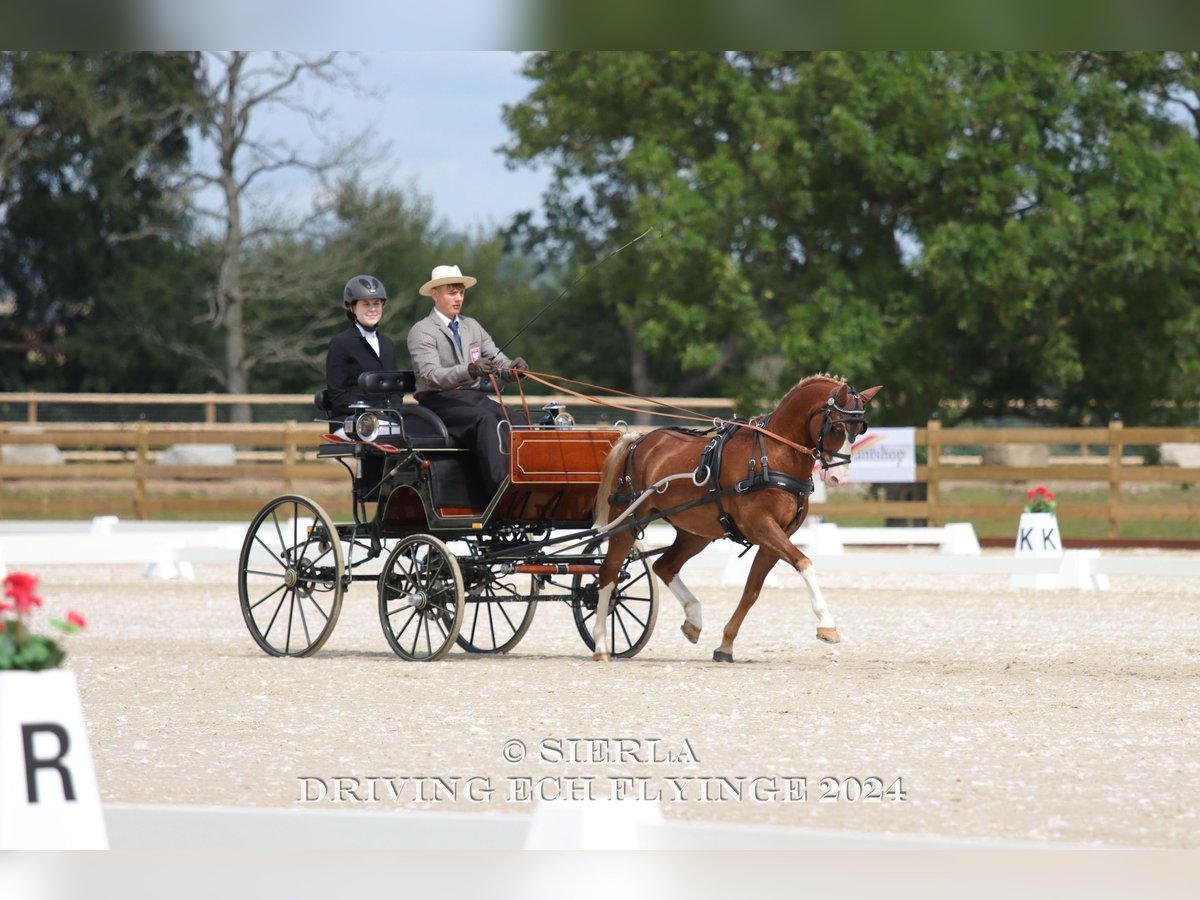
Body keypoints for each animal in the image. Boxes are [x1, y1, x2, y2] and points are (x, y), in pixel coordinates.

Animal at [590, 374, 883, 662]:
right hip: (627, 522)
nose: (837, 478)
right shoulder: (761, 526)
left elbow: (751, 591)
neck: (772, 455)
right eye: (836, 428)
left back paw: (693, 620)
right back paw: (602, 645)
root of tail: (638, 441)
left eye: (860, 429)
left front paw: (725, 646)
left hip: (696, 533)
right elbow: (805, 563)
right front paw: (827, 625)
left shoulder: (777, 537)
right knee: (609, 573)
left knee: (665, 567)